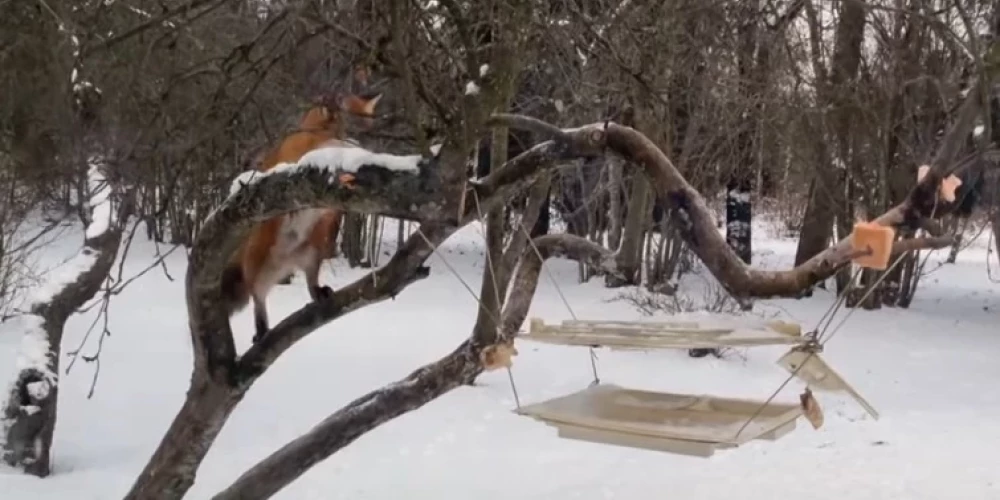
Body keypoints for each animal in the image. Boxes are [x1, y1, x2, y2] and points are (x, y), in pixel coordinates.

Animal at [221, 90, 380, 342]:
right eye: (351, 128)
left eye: (371, 126)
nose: (370, 145)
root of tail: (286, 262)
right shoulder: (301, 154)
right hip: (256, 270)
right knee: (258, 300)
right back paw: (261, 329)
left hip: (312, 256)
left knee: (310, 285)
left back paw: (318, 293)